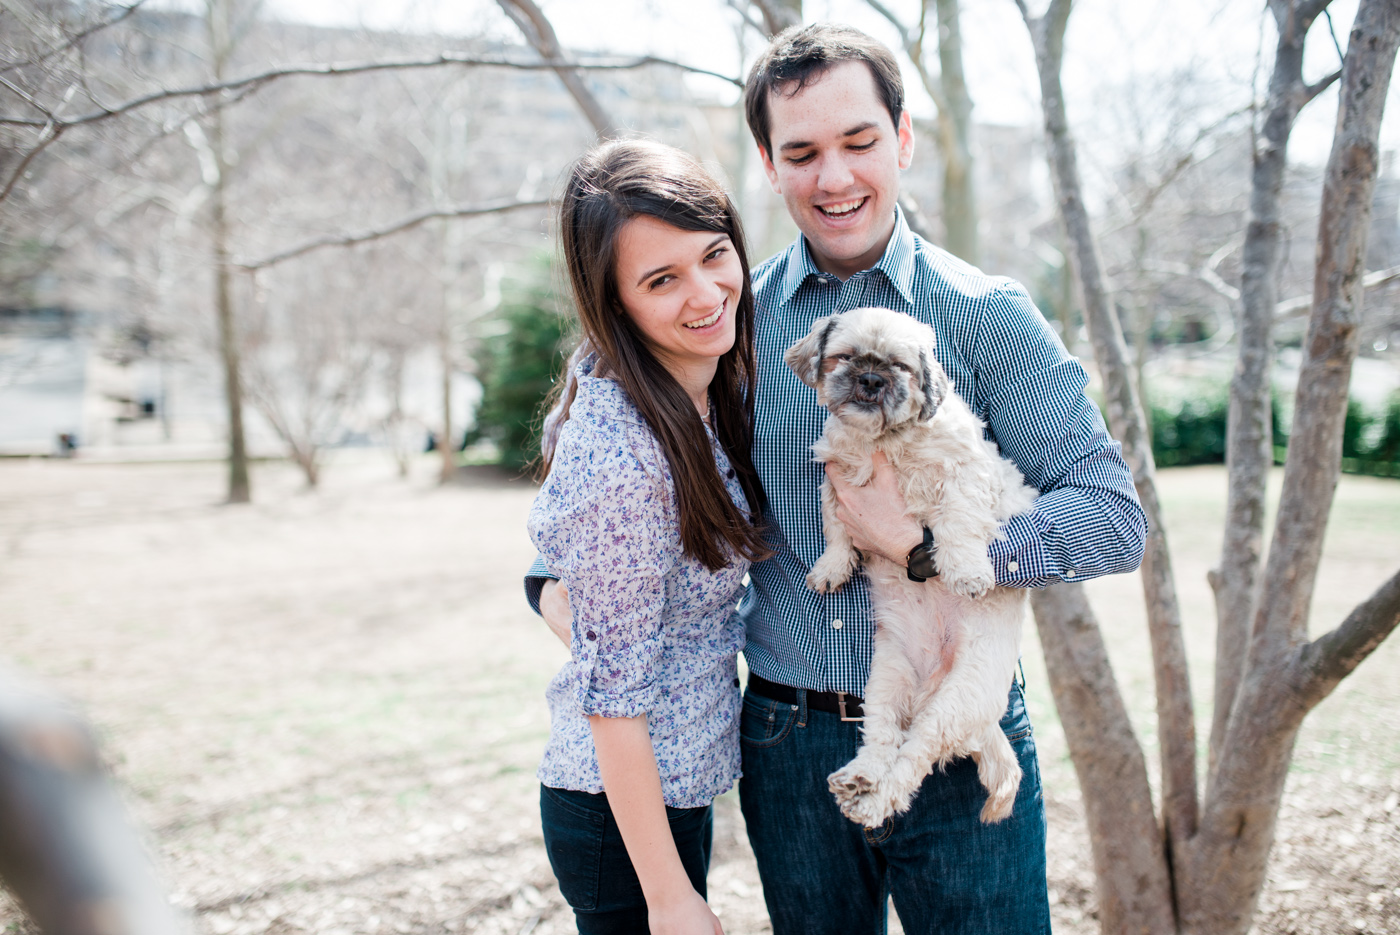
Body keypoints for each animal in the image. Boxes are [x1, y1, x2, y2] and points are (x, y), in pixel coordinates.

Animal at [789, 306, 1041, 823]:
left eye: (901, 367)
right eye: (845, 357)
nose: (871, 378)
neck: (885, 440)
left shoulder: (967, 474)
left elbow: (956, 523)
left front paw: (966, 571)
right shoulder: (837, 478)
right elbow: (835, 526)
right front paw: (831, 567)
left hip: (956, 701)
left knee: (912, 760)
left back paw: (872, 801)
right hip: (887, 680)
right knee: (883, 739)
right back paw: (859, 778)